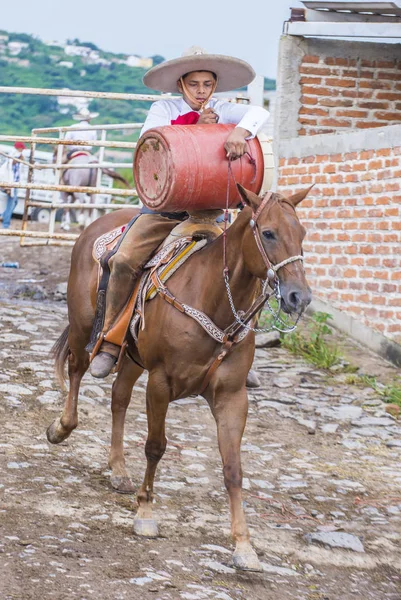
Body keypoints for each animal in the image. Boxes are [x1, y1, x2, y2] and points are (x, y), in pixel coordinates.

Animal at [46, 185, 310, 568]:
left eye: (301, 234)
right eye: (269, 233)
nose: (298, 296)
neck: (212, 297)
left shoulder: (232, 396)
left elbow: (233, 468)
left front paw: (244, 545)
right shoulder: (160, 383)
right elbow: (155, 447)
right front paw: (145, 513)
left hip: (132, 358)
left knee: (119, 397)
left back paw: (118, 469)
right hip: (83, 329)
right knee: (77, 369)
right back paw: (61, 428)